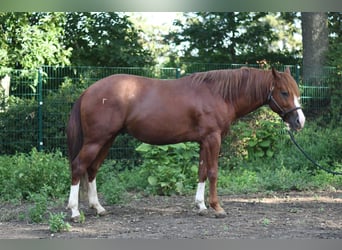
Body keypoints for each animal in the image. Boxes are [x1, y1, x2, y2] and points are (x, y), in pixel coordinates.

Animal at [66, 67, 304, 221]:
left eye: (297, 92)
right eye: (284, 92)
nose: (299, 121)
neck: (219, 94)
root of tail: (88, 91)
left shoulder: (203, 141)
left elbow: (201, 172)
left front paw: (201, 206)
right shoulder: (213, 138)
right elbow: (213, 172)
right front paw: (217, 208)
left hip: (107, 140)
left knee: (92, 169)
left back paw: (98, 208)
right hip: (96, 140)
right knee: (78, 167)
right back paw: (75, 211)